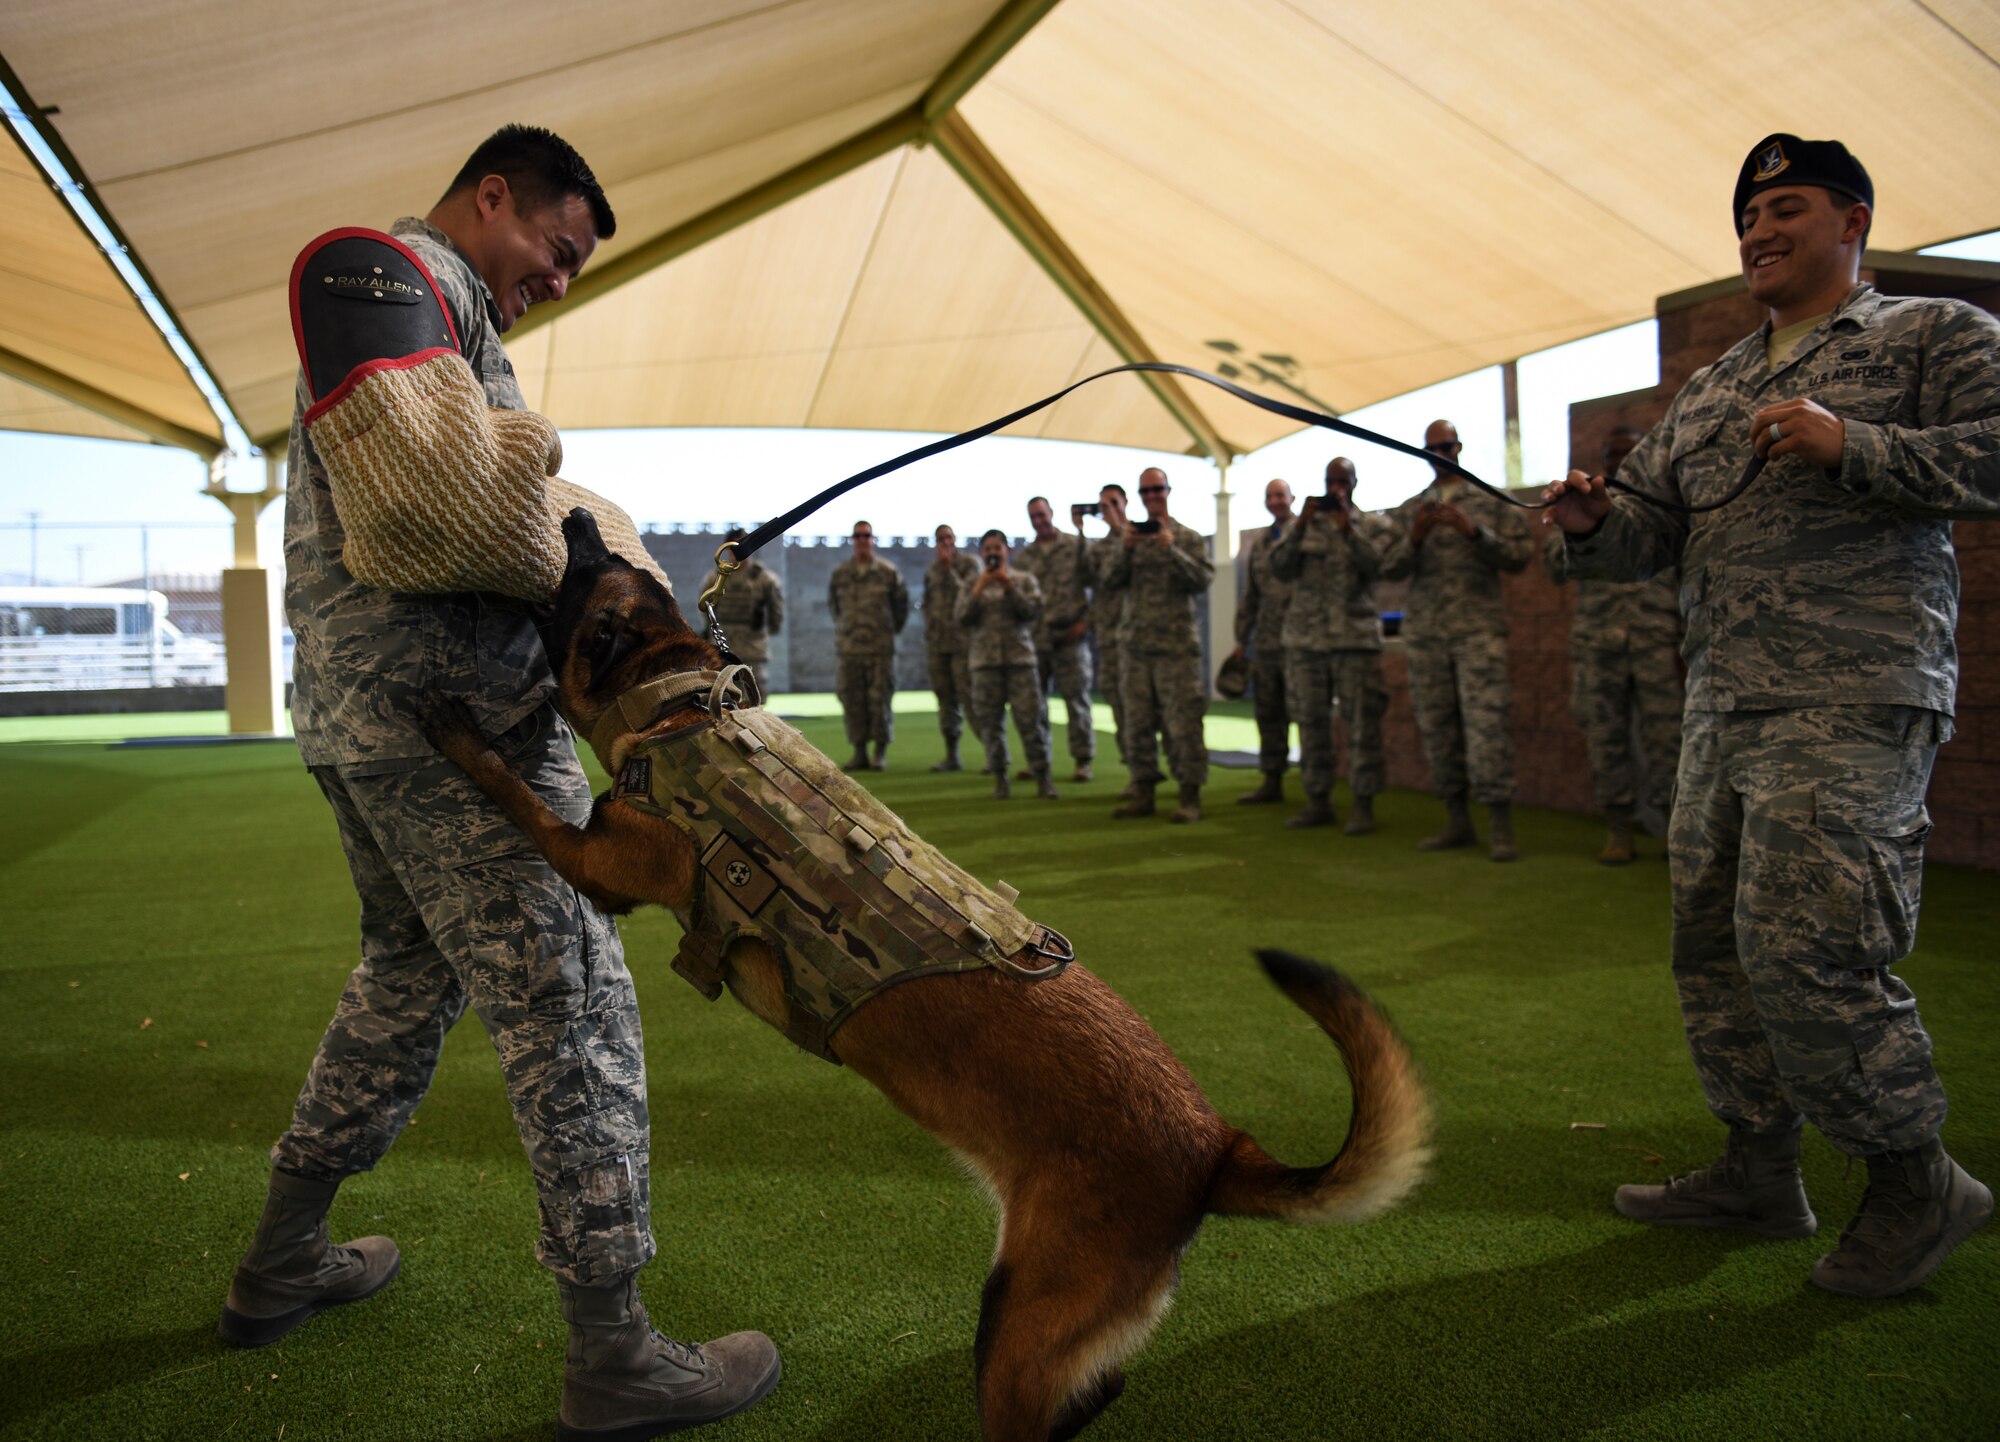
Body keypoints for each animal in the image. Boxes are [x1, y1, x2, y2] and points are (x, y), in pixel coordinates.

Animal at [414, 506, 1432, 1440]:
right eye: (600, 559)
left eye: (577, 574)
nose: (576, 514)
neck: (677, 701)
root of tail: (1219, 1147)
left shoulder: (595, 860)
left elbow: (512, 791)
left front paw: (455, 730)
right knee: (1097, 1387)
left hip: (1018, 1320)